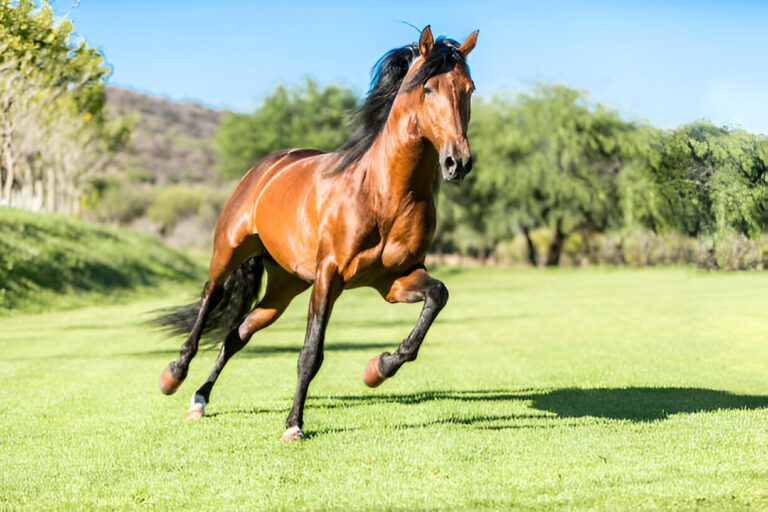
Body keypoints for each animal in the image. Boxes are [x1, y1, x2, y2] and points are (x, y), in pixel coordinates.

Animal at [156, 25, 476, 440]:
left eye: (468, 88)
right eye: (429, 88)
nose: (458, 162)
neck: (382, 193)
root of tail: (269, 165)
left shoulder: (395, 279)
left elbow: (437, 296)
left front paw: (378, 369)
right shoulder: (329, 275)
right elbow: (310, 353)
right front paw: (294, 425)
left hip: (283, 287)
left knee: (236, 335)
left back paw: (200, 400)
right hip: (229, 252)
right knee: (210, 299)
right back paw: (174, 376)